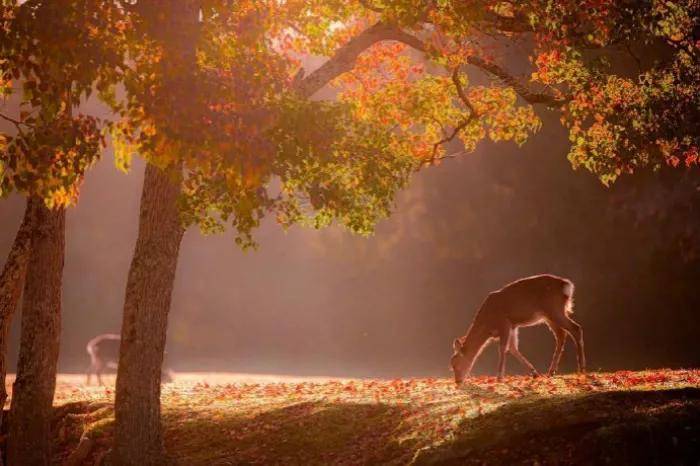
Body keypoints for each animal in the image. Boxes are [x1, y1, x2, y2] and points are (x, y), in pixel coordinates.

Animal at [448, 274, 584, 384]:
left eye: (455, 364)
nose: (458, 381)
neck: (487, 325)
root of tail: (566, 285)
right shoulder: (513, 326)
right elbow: (513, 349)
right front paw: (534, 373)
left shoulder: (504, 323)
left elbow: (503, 348)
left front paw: (499, 377)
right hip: (549, 315)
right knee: (561, 334)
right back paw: (551, 371)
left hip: (554, 309)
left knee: (575, 328)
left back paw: (581, 369)